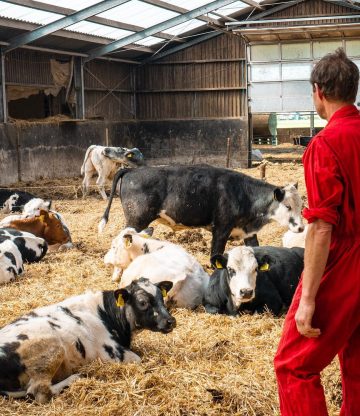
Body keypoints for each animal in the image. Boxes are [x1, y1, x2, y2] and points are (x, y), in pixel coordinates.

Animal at [97, 165, 304, 256]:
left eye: (302, 206)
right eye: (287, 206)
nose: (301, 228)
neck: (242, 193)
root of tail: (132, 170)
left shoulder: (249, 233)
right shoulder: (221, 229)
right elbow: (216, 254)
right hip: (136, 220)